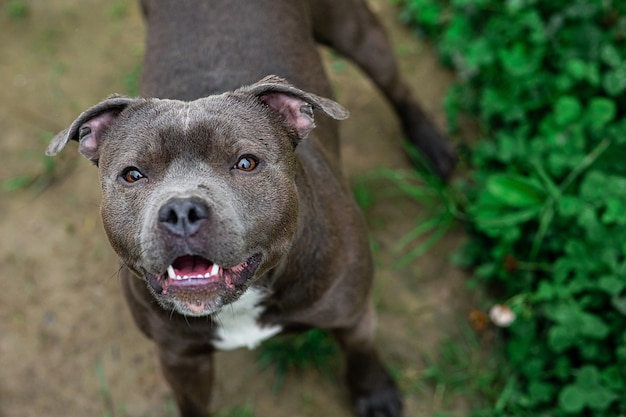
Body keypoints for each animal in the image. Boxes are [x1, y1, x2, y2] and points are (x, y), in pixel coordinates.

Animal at [45, 0, 454, 416]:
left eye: (246, 163)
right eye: (132, 174)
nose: (181, 211)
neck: (243, 302)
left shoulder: (352, 315)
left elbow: (362, 353)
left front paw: (376, 393)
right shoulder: (179, 357)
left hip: (353, 29)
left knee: (394, 83)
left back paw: (431, 145)